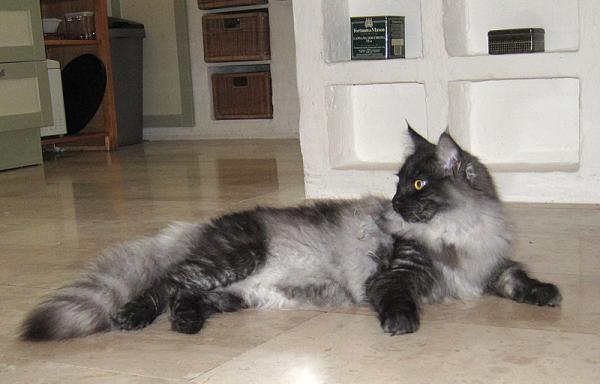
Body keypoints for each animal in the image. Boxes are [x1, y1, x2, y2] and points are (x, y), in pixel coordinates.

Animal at [19, 127, 564, 340]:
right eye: (400, 183)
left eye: (417, 184)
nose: (392, 204)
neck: (459, 232)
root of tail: (201, 226)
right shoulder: (394, 276)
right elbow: (397, 297)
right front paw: (401, 323)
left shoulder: (490, 267)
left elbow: (517, 279)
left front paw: (547, 293)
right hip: (231, 261)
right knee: (165, 284)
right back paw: (133, 316)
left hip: (238, 293)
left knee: (185, 297)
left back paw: (186, 324)